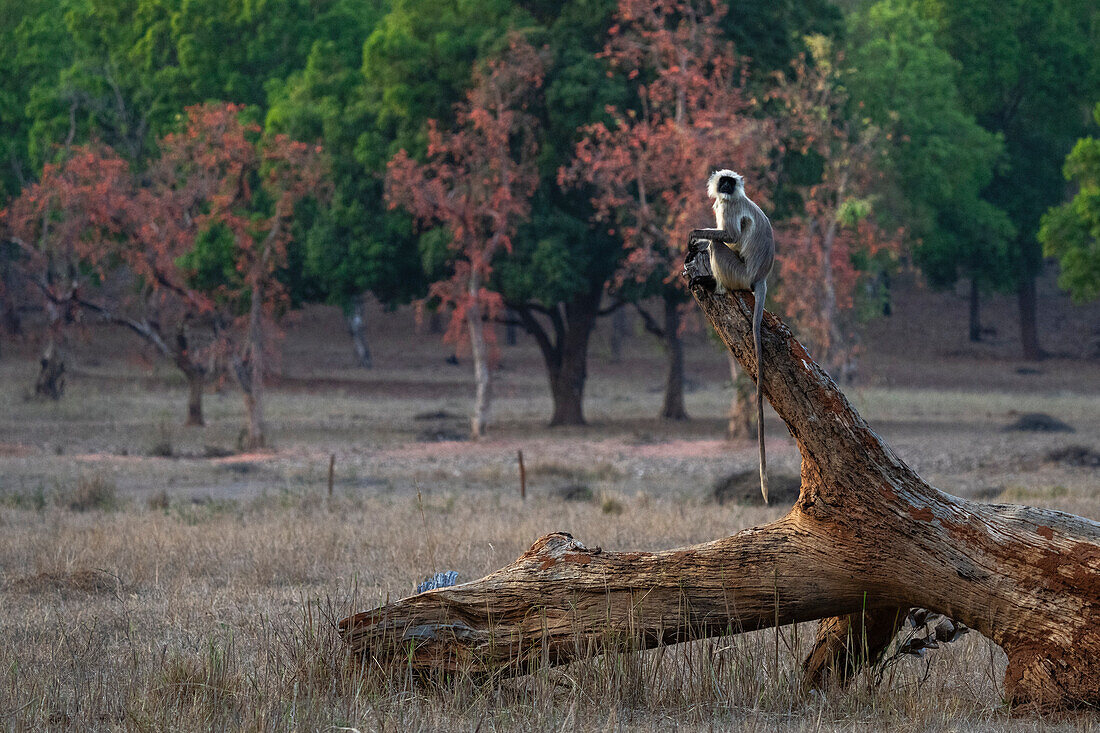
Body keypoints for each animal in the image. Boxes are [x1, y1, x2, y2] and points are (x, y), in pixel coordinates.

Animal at [690, 169, 778, 501]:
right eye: (723, 181)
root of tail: (760, 276)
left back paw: (714, 284)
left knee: (719, 248)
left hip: (738, 274)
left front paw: (695, 236)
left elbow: (729, 237)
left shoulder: (728, 207)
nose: (726, 187)